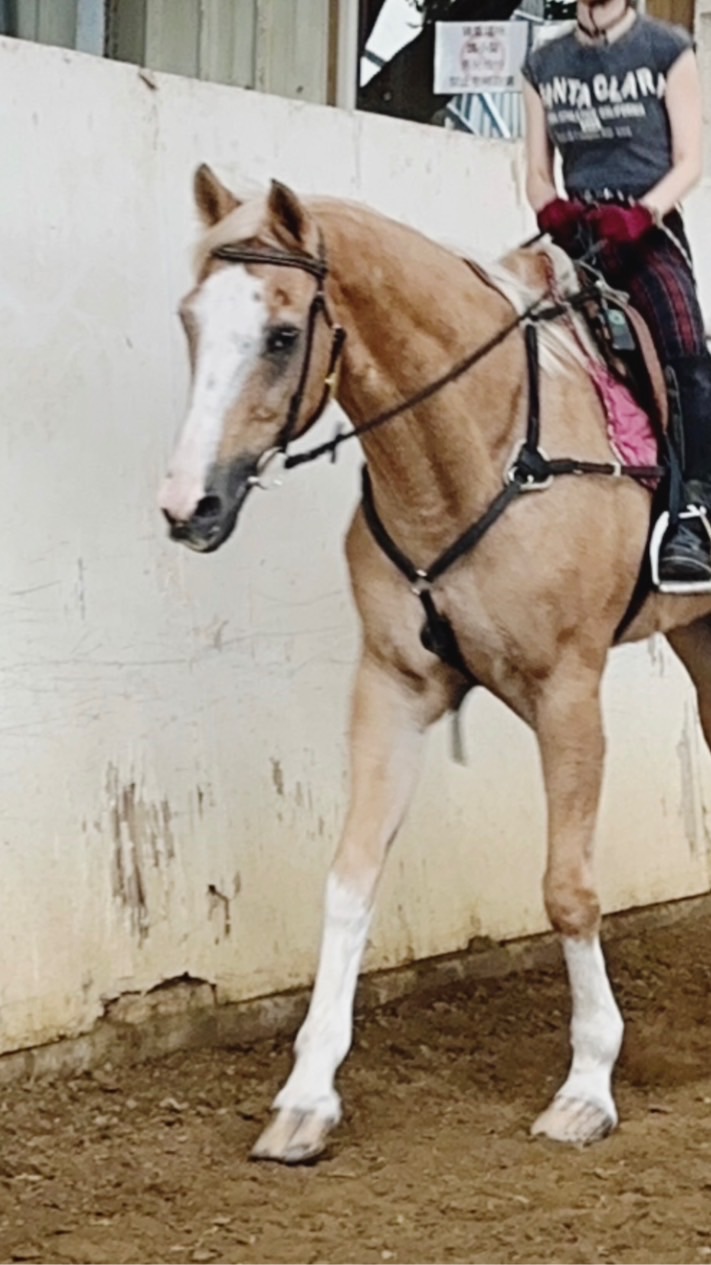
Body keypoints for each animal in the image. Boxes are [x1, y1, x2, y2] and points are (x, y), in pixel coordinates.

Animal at [159, 164, 711, 1164]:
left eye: (282, 333)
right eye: (191, 318)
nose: (188, 506)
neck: (477, 447)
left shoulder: (568, 692)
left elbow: (568, 890)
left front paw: (585, 1086)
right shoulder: (391, 687)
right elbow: (349, 879)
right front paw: (305, 1095)